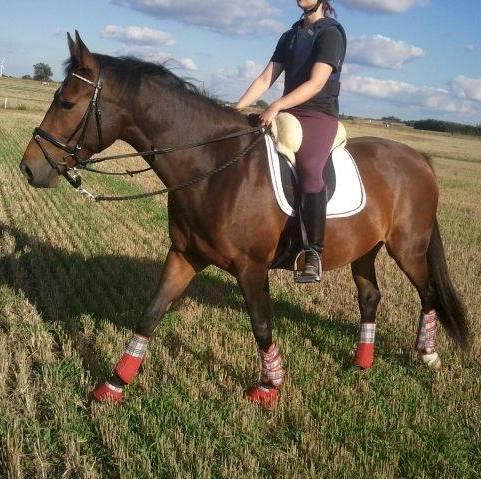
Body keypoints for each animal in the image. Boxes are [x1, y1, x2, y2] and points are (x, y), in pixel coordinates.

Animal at [20, 32, 466, 408]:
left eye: (67, 103)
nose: (28, 168)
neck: (214, 167)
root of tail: (417, 158)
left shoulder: (251, 269)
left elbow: (261, 324)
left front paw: (269, 387)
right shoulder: (184, 256)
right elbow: (151, 314)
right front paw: (113, 385)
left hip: (407, 248)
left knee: (428, 293)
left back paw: (427, 354)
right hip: (366, 249)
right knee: (370, 297)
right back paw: (362, 363)